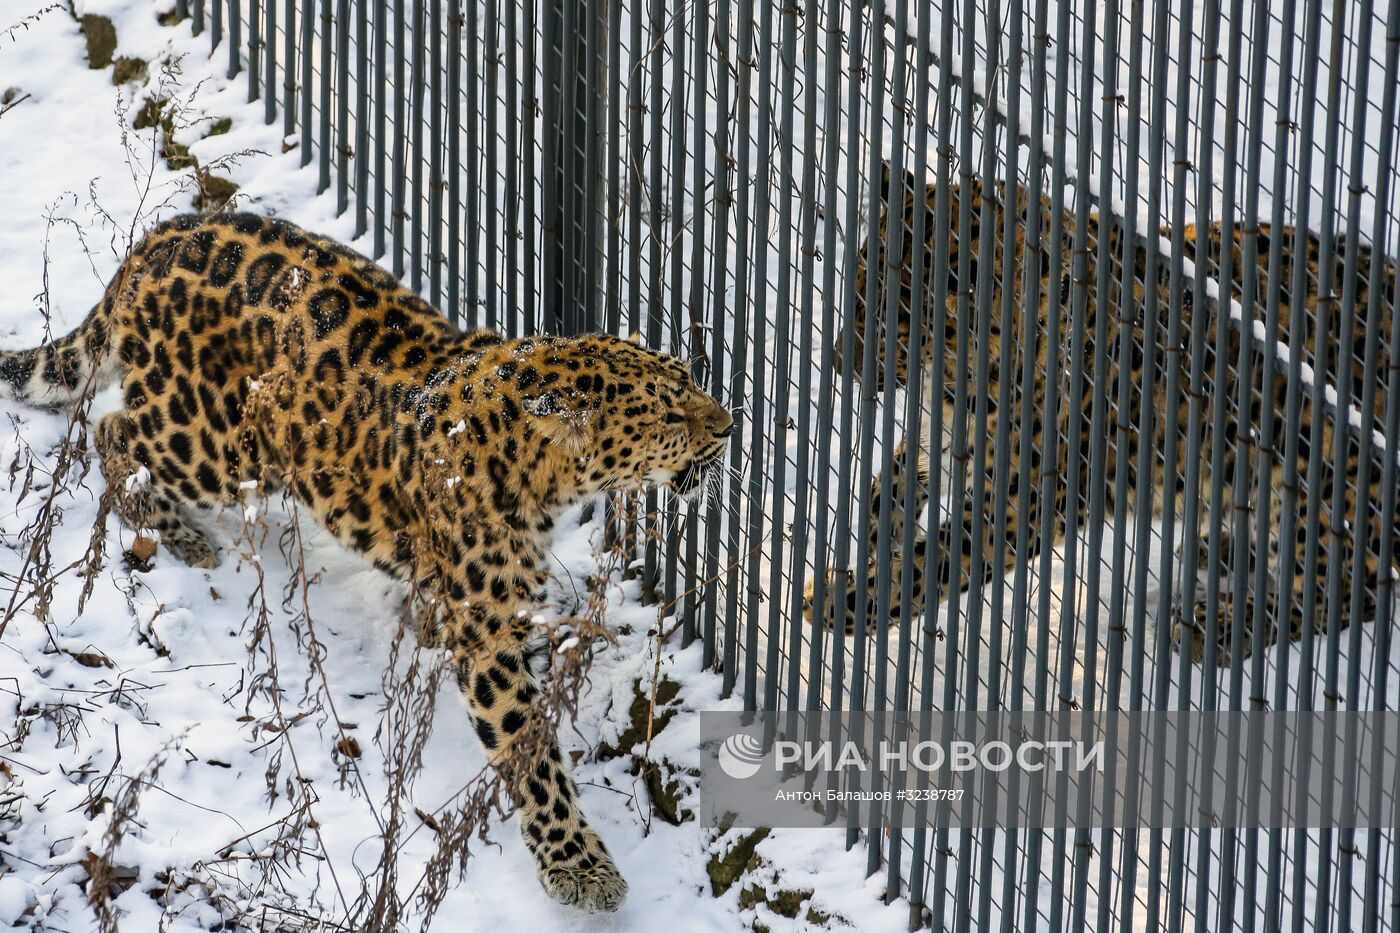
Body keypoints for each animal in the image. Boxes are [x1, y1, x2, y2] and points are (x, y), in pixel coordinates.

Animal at [0, 212, 739, 907]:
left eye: (690, 379)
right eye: (671, 416)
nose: (731, 426)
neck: (547, 474)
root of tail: (162, 238)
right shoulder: (488, 639)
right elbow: (529, 752)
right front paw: (579, 866)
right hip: (216, 442)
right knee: (113, 430)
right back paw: (180, 535)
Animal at [812, 163, 1400, 664]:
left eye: (889, 316)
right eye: (856, 287)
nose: (838, 361)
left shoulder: (1020, 501)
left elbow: (927, 565)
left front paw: (831, 605)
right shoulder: (945, 432)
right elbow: (886, 486)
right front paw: (863, 548)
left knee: (1351, 587)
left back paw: (1217, 628)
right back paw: (1220, 548)